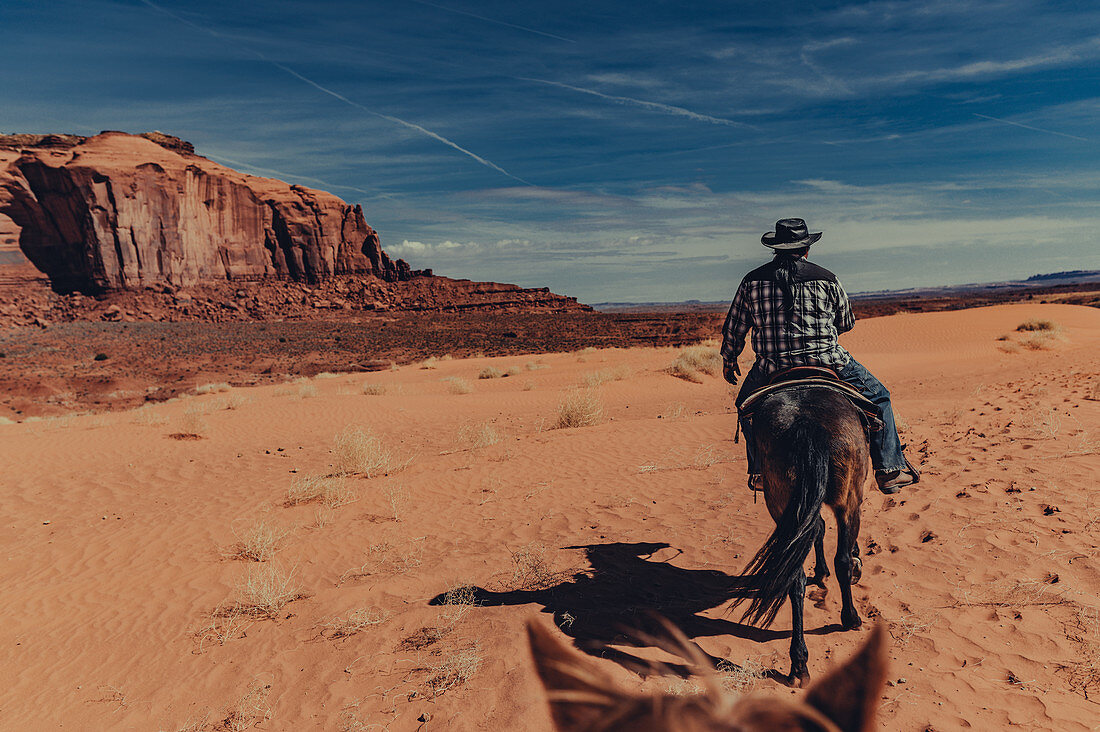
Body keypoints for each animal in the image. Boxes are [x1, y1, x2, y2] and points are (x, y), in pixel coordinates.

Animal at [730, 387, 866, 686]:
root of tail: (807, 423)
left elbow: (817, 530)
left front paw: (821, 571)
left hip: (781, 500)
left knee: (795, 575)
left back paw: (799, 663)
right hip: (849, 498)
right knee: (841, 559)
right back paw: (850, 618)